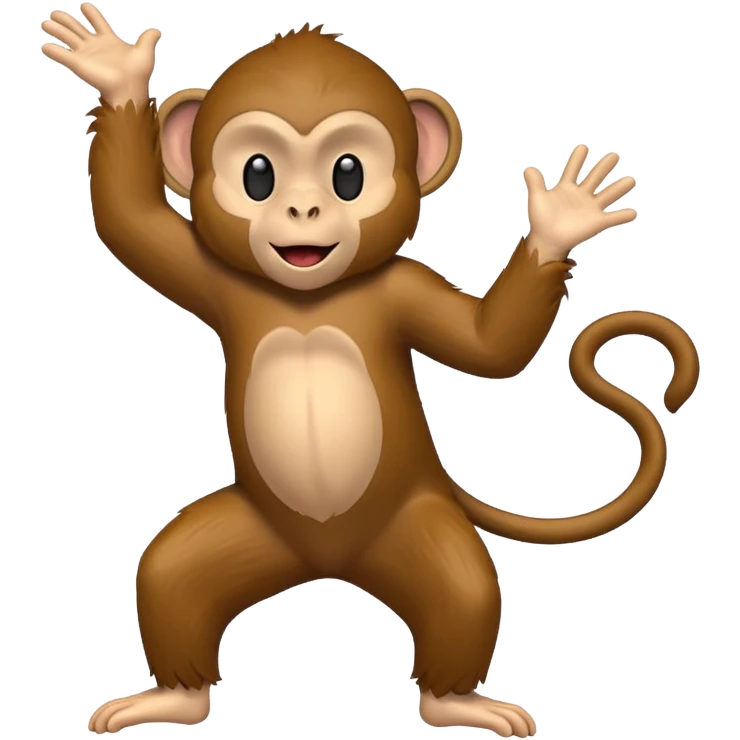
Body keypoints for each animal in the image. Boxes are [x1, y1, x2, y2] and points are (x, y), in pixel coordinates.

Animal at [39, 4, 700, 737]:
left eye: (348, 173)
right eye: (259, 174)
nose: (303, 210)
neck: (311, 299)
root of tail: (328, 562)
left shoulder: (405, 288)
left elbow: (488, 348)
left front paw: (561, 222)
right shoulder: (211, 276)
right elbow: (131, 222)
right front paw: (118, 70)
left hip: (419, 527)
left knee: (464, 591)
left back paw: (456, 700)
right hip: (247, 535)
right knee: (168, 577)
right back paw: (172, 697)